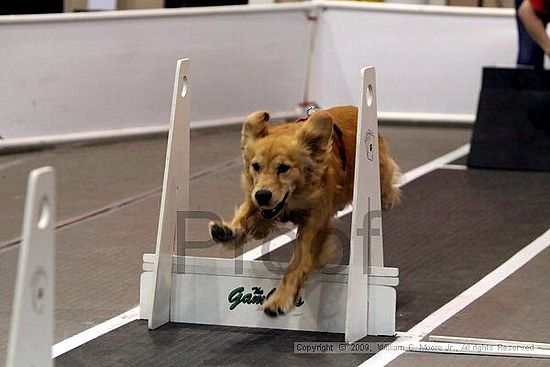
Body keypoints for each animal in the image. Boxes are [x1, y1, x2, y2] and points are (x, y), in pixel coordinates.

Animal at [210, 105, 402, 316]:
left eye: (283, 168)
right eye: (256, 166)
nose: (262, 195)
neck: (295, 195)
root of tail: (354, 107)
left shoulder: (313, 224)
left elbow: (297, 265)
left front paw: (280, 298)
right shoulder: (256, 198)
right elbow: (245, 215)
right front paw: (227, 232)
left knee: (387, 185)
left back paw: (388, 197)